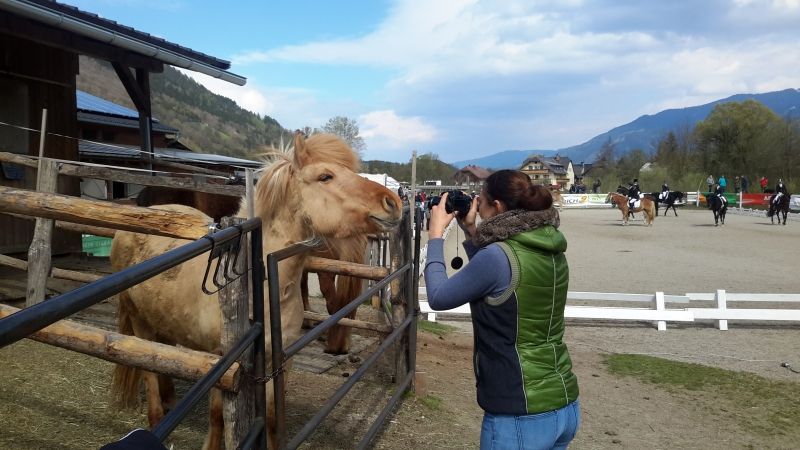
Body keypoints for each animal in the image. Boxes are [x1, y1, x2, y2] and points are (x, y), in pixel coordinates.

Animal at [109, 134, 404, 450]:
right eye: (325, 176)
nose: (393, 202)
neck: (257, 286)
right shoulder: (223, 363)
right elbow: (218, 416)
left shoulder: (278, 363)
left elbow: (273, 419)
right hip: (139, 323)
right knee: (148, 373)